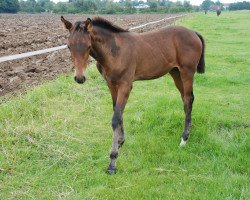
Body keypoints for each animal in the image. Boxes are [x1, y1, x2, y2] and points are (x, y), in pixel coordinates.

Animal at [60, 16, 205, 174]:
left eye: (87, 46)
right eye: (68, 46)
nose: (79, 78)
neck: (114, 51)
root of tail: (194, 33)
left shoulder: (126, 85)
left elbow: (115, 118)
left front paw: (112, 161)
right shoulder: (111, 84)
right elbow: (117, 112)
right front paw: (120, 142)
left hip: (187, 72)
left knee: (188, 99)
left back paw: (184, 138)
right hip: (175, 72)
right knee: (186, 99)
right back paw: (188, 130)